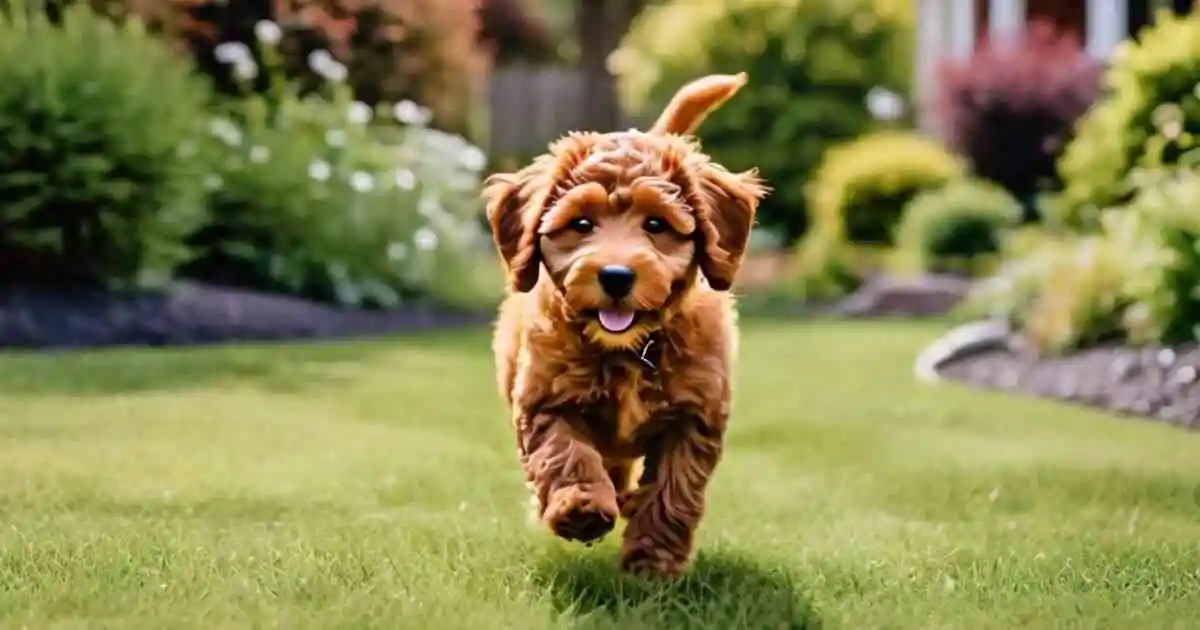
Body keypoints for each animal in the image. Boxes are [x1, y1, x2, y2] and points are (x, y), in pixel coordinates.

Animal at [482, 72, 763, 573]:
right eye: (581, 223)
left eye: (656, 224)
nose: (616, 275)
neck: (629, 348)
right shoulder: (544, 398)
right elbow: (563, 453)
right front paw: (579, 508)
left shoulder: (695, 416)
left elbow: (673, 489)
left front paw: (652, 562)